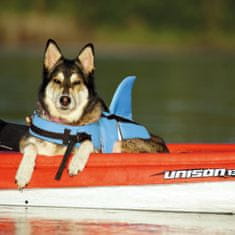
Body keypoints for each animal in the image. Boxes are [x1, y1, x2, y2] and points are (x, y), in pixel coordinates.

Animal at [15, 39, 169, 189]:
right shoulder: (26, 142)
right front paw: (23, 174)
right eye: (57, 81)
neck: (64, 126)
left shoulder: (95, 149)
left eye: (77, 82)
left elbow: (87, 142)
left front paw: (76, 162)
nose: (65, 100)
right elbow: (31, 147)